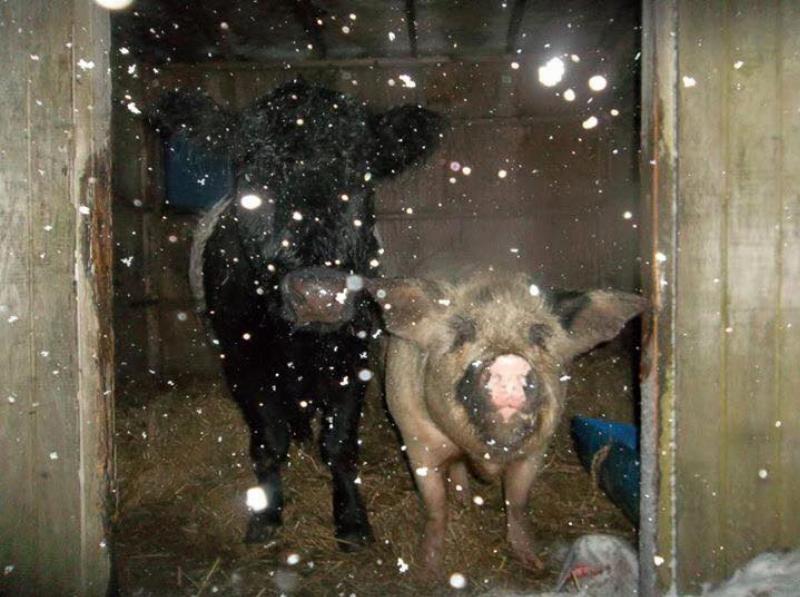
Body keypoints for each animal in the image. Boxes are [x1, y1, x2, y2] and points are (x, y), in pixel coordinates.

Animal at [281, 268, 646, 571]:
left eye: (540, 337)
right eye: (461, 335)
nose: (508, 361)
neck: (485, 452)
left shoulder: (535, 451)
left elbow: (518, 502)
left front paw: (534, 564)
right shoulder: (417, 444)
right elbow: (435, 506)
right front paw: (428, 570)